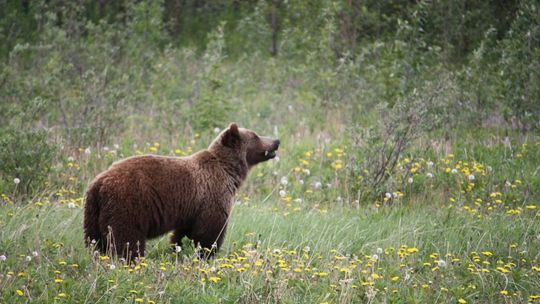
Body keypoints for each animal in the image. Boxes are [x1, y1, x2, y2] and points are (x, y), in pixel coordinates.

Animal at [84, 122, 280, 260]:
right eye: (256, 135)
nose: (276, 141)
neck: (229, 171)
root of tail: (100, 182)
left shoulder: (191, 208)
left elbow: (184, 232)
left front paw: (178, 249)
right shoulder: (213, 195)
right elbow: (210, 231)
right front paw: (206, 254)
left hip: (93, 211)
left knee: (94, 241)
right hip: (128, 204)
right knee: (126, 238)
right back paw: (131, 260)